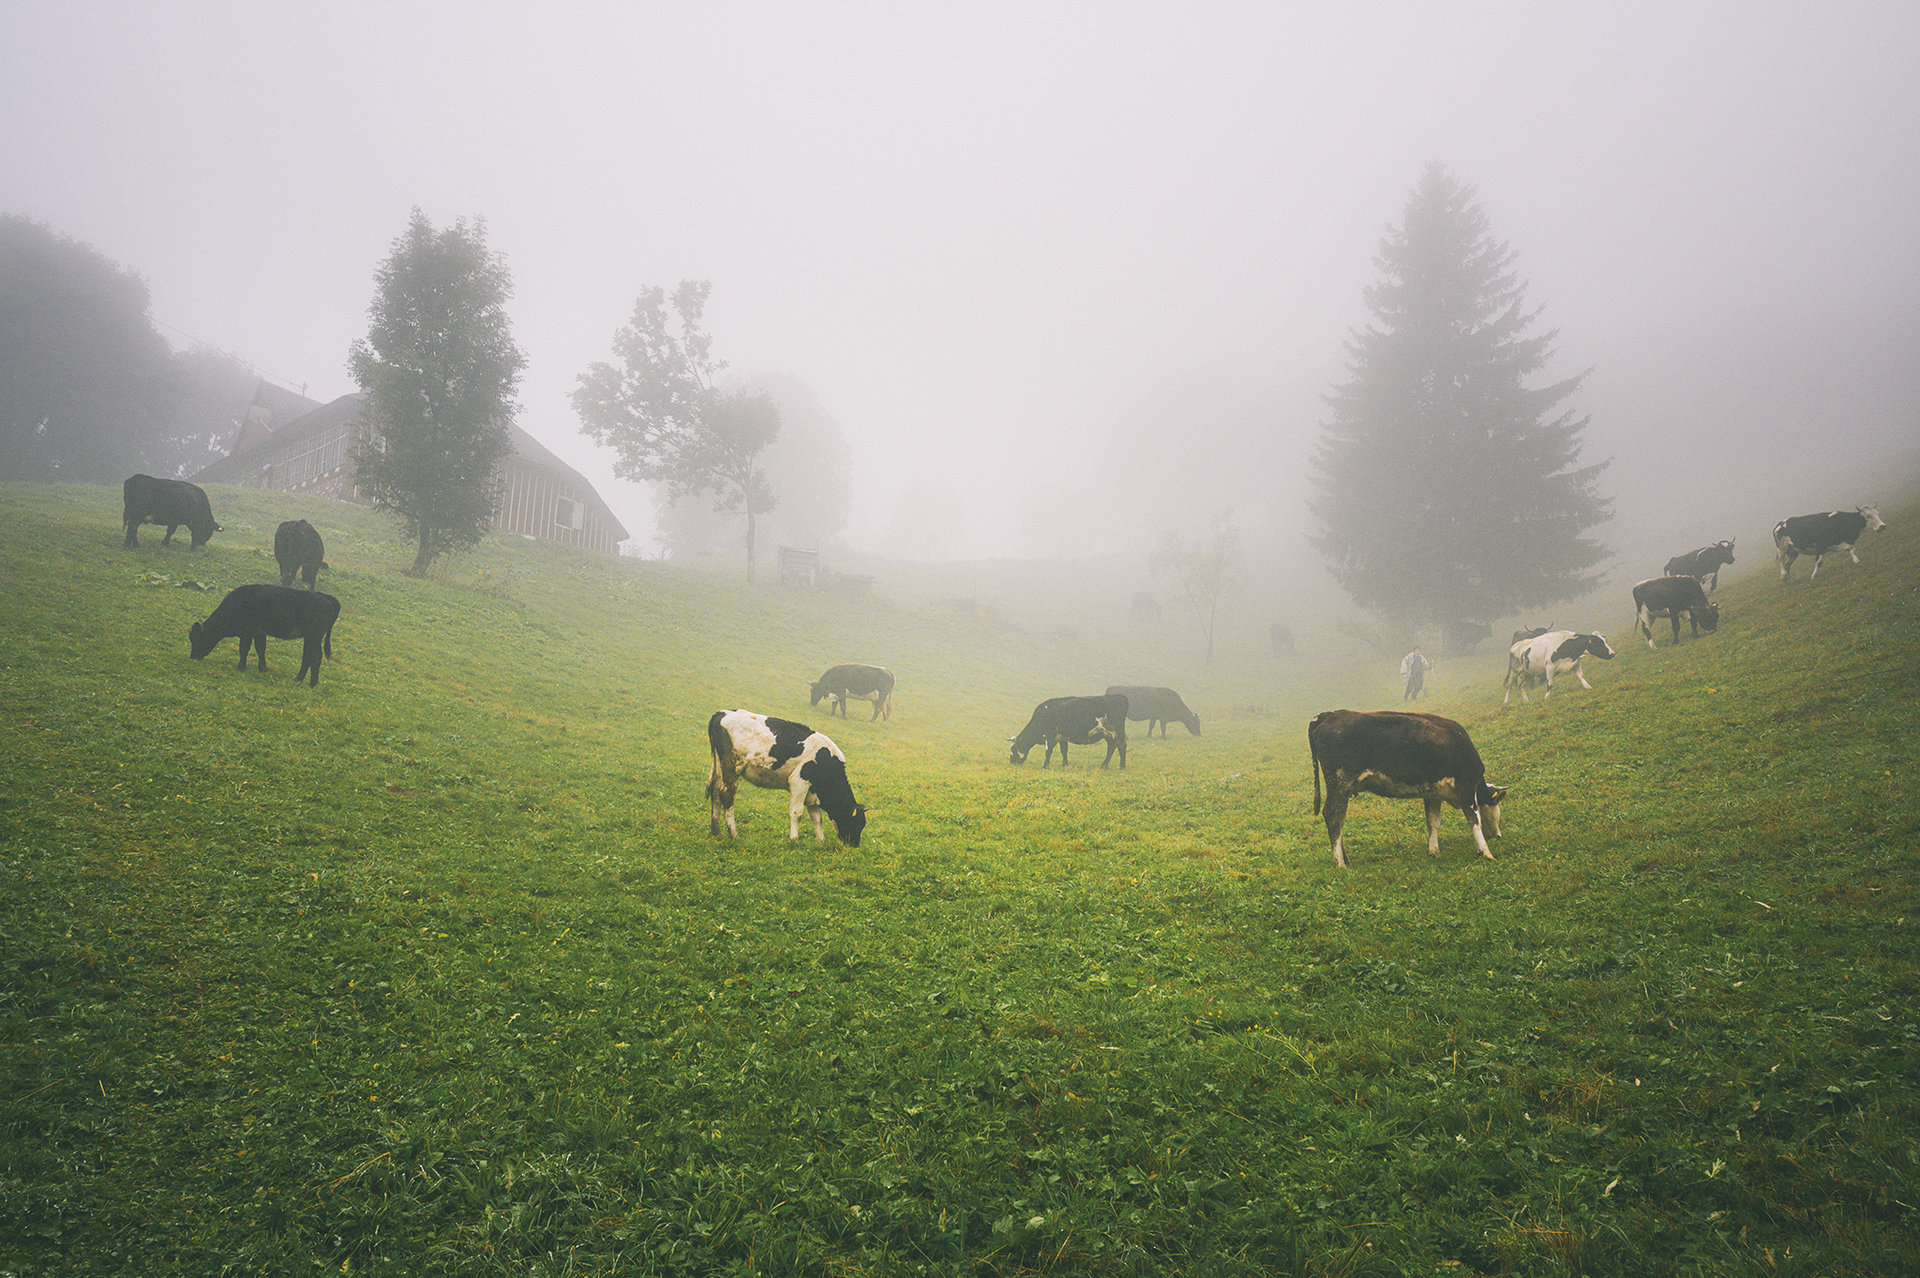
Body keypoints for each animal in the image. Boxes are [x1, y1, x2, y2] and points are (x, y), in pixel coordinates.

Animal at [188, 583, 341, 686]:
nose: (192, 657)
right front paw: (263, 668)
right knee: (308, 656)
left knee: (315, 657)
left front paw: (241, 667)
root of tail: (325, 596)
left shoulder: (247, 631)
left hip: (314, 635)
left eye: (197, 638)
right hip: (311, 638)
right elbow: (260, 649)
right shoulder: (259, 632)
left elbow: (244, 648)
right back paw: (301, 680)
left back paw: (309, 683)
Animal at [706, 706, 871, 844]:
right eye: (856, 823)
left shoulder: (812, 792)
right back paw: (733, 834)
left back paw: (716, 831)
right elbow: (797, 813)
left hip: (720, 767)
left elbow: (817, 818)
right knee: (727, 796)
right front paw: (794, 839)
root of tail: (721, 713)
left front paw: (821, 841)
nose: (855, 844)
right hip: (731, 768)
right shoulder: (799, 782)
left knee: (715, 792)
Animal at [1313, 706, 1505, 867]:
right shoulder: (1466, 787)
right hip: (1339, 784)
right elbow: (1475, 820)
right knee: (1334, 817)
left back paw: (1345, 859)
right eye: (1496, 808)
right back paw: (1340, 863)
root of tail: (1328, 715)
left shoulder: (1433, 794)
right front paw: (1486, 852)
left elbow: (1433, 822)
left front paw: (1434, 851)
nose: (1498, 835)